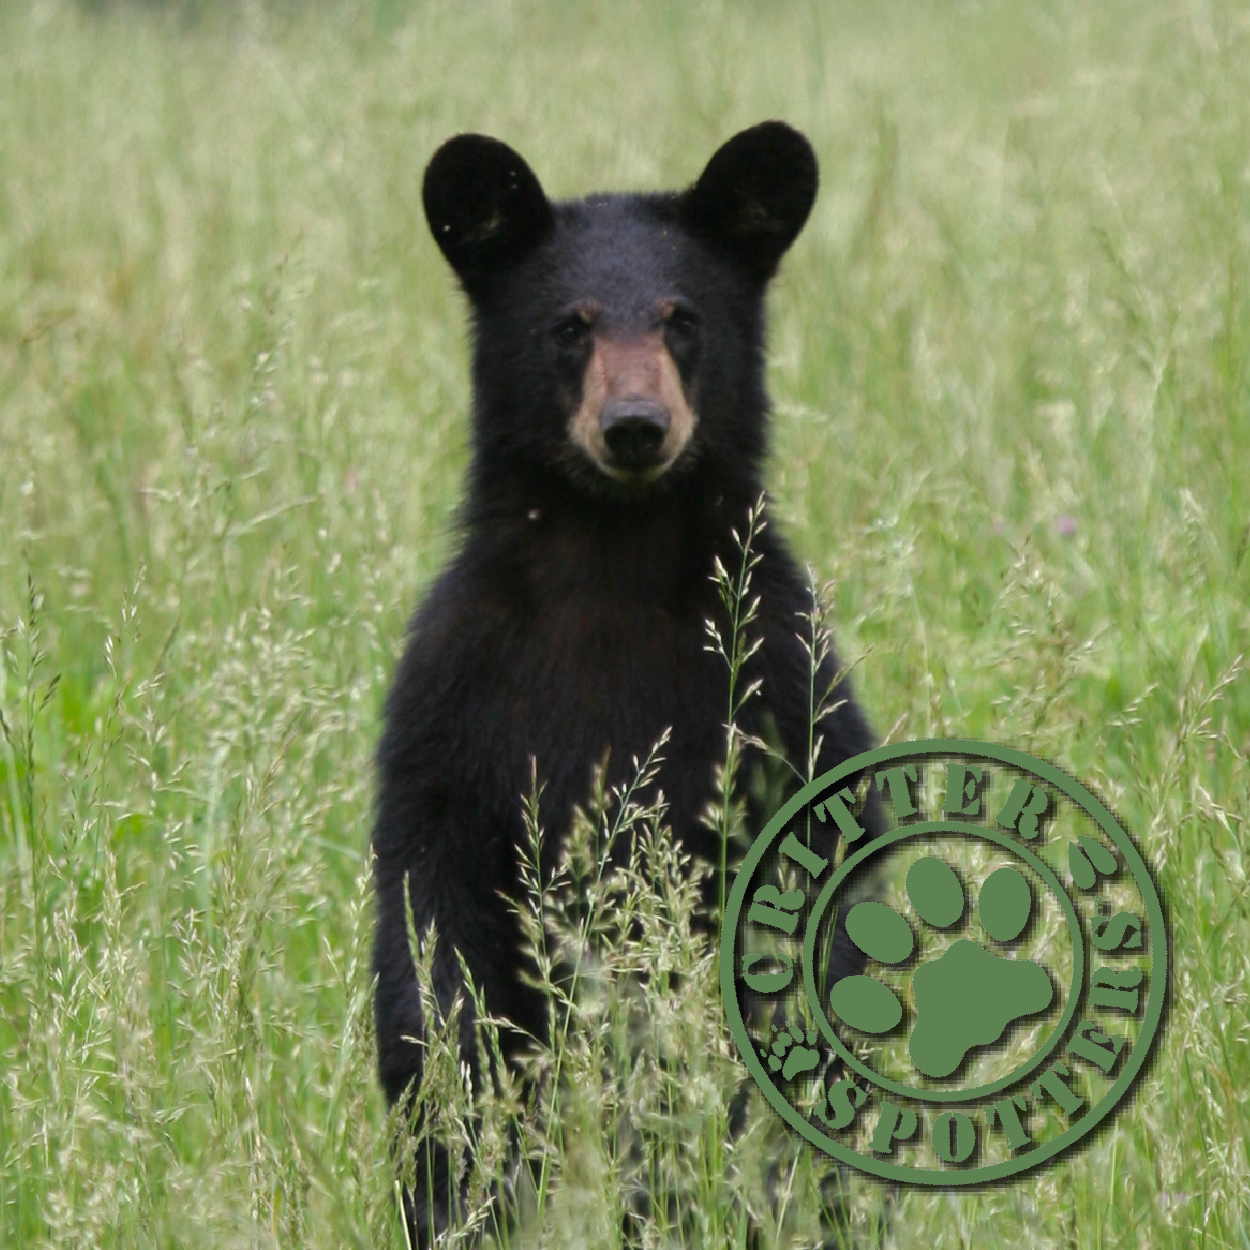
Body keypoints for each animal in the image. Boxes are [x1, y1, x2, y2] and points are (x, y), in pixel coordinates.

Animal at [372, 121, 883, 1247]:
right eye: (570, 326)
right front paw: (459, 1161)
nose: (637, 424)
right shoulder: (454, 696)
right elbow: (432, 930)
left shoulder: (775, 678)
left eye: (681, 318)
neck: (611, 558)